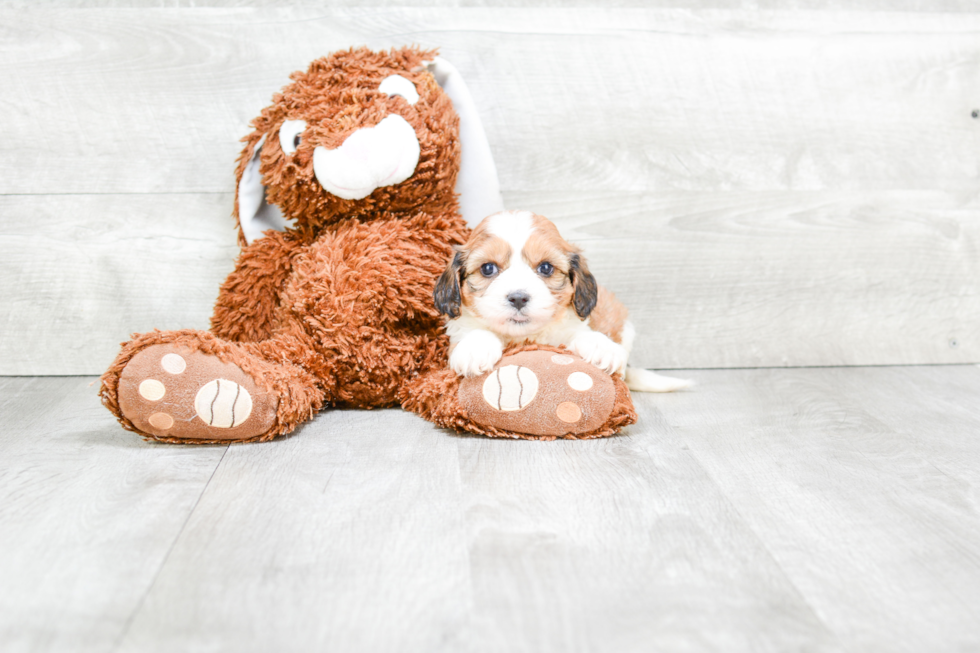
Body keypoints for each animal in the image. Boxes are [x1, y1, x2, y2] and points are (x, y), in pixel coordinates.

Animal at [432, 209, 692, 392]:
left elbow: (581, 335)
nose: (518, 298)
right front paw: (475, 348)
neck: (524, 337)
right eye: (488, 268)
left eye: (546, 268)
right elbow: (475, 333)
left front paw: (603, 347)